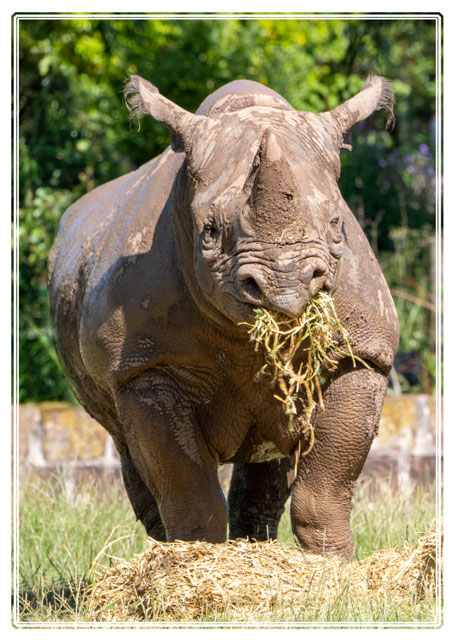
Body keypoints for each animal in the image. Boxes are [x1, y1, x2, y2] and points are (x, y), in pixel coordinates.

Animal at [48, 75, 399, 559]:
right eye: (210, 232)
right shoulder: (146, 366)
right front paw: (193, 559)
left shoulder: (361, 354)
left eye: (335, 225)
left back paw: (256, 547)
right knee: (126, 447)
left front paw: (331, 564)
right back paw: (167, 550)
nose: (284, 287)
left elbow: (327, 485)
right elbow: (188, 491)